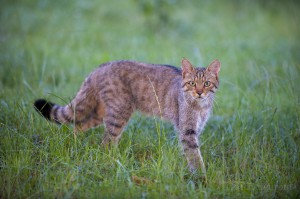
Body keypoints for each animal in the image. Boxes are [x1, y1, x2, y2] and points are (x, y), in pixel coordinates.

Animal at [34, 58, 220, 180]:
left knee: (78, 125)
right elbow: (195, 155)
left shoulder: (194, 129)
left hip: (99, 113)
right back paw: (113, 162)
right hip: (119, 113)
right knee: (107, 142)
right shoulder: (187, 131)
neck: (200, 106)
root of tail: (100, 67)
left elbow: (189, 154)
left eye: (207, 83)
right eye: (191, 83)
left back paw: (73, 145)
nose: (199, 92)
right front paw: (202, 178)